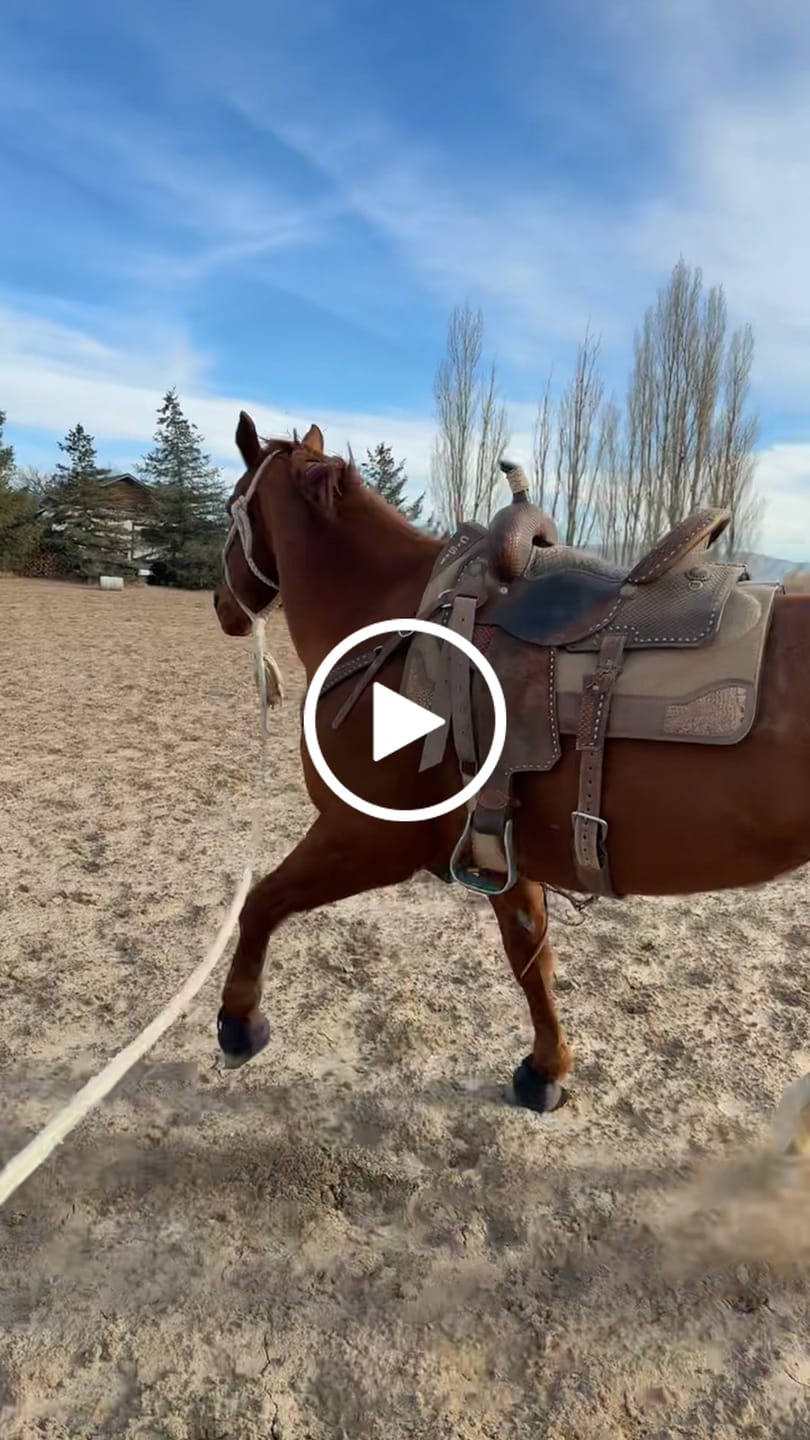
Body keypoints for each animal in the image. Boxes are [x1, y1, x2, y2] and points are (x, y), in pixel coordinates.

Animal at [212, 413, 810, 1117]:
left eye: (231, 505)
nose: (221, 605)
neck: (386, 621)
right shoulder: (500, 841)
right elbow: (531, 955)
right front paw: (546, 1068)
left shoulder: (366, 838)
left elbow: (259, 903)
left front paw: (238, 1024)